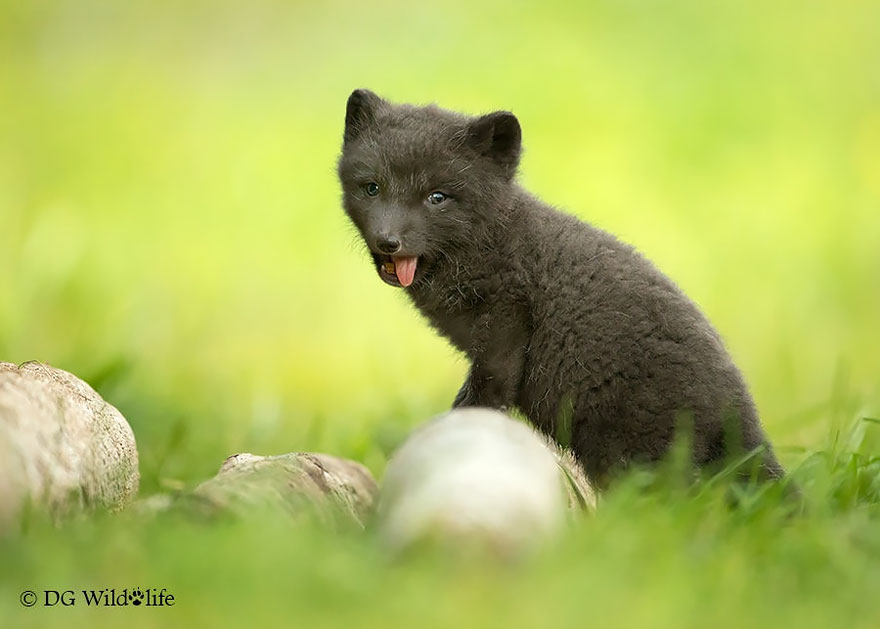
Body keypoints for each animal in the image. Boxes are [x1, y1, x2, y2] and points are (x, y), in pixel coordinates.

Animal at [336, 89, 784, 487]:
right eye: (371, 186)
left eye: (437, 197)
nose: (388, 241)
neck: (493, 241)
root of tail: (744, 417)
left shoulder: (506, 316)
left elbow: (486, 390)